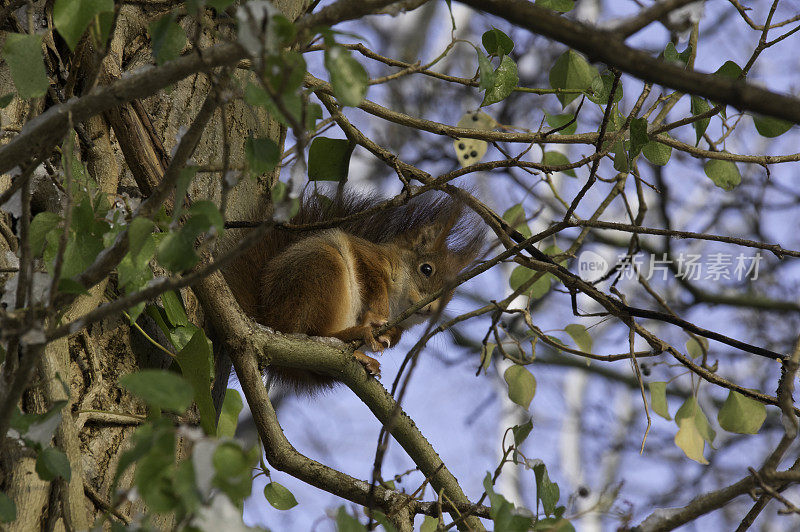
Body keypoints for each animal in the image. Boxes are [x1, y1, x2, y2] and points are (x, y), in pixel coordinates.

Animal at [222, 190, 482, 390]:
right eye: (426, 269)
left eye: (451, 296)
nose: (432, 310)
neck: (398, 306)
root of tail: (271, 320)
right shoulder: (369, 257)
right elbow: (373, 280)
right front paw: (377, 315)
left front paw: (390, 335)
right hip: (321, 273)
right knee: (315, 332)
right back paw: (354, 336)